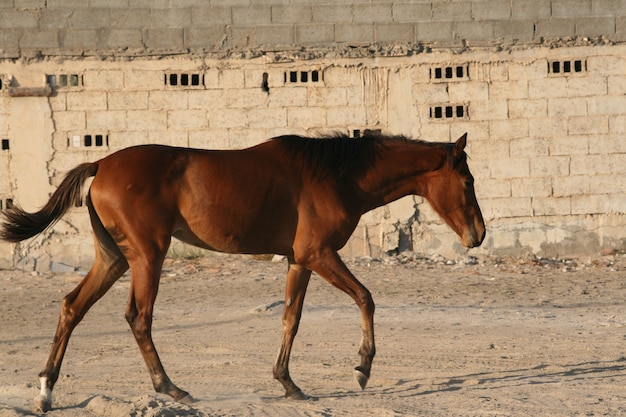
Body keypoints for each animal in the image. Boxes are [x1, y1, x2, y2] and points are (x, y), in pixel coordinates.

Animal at [0, 132, 482, 410]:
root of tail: (100, 164)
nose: (478, 234)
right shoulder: (319, 254)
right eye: (468, 180)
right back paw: (171, 388)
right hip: (148, 257)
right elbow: (365, 297)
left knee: (72, 307)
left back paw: (46, 391)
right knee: (138, 318)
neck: (336, 174)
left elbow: (291, 318)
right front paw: (362, 367)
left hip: (114, 259)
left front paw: (288, 383)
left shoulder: (300, 260)